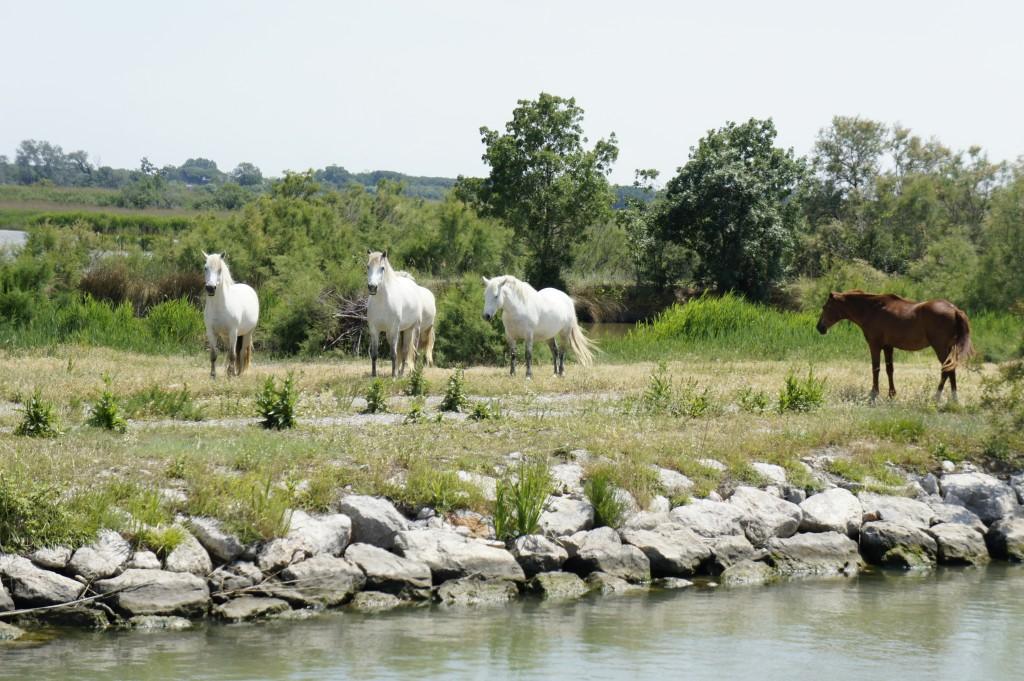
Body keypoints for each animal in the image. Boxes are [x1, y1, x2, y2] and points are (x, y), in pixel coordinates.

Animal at [815, 288, 974, 401]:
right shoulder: (888, 347)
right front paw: (892, 394)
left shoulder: (875, 345)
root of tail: (955, 310)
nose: (819, 327)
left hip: (940, 348)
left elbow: (876, 369)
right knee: (951, 370)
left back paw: (936, 397)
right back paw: (954, 399)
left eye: (825, 307)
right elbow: (889, 370)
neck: (872, 309)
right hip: (949, 348)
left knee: (945, 370)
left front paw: (874, 393)